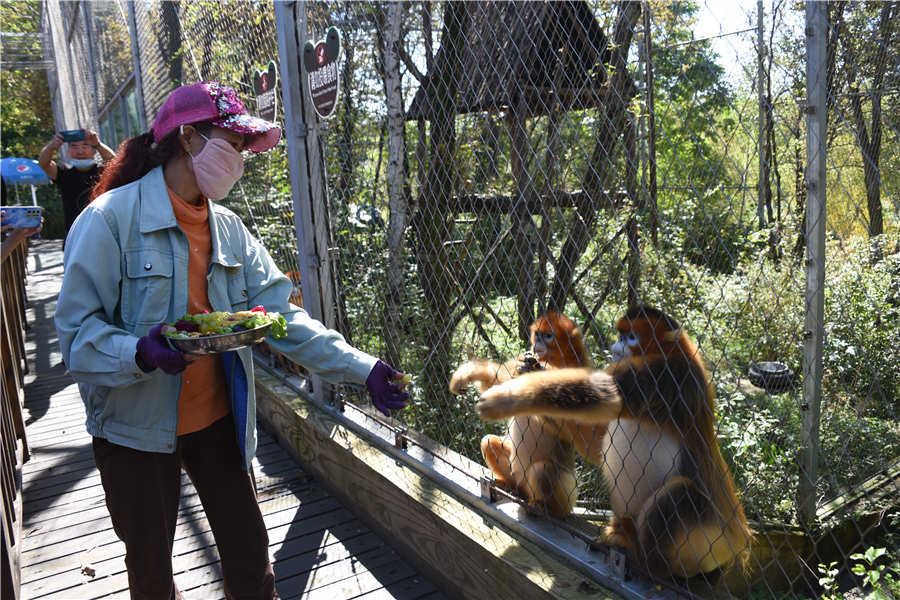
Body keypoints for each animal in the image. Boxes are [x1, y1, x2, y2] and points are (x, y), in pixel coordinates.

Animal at [450, 314, 592, 516]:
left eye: (548, 335)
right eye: (538, 335)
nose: (538, 343)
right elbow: (498, 384)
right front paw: (467, 373)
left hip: (567, 495)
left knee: (543, 470)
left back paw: (542, 507)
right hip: (516, 472)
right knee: (488, 442)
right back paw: (508, 486)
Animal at [478, 308, 752, 580]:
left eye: (630, 337)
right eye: (620, 336)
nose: (615, 347)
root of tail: (737, 539)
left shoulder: (664, 373)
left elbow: (600, 396)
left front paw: (508, 395)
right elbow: (592, 439)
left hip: (706, 540)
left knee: (678, 492)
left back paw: (643, 560)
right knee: (488, 441)